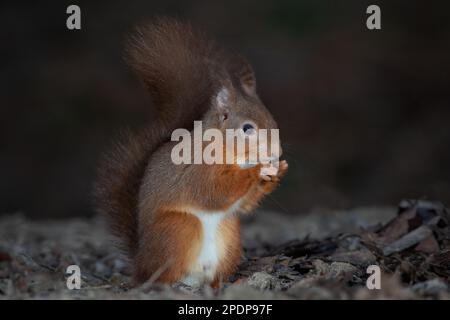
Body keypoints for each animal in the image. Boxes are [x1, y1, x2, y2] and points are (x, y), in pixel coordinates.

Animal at [94, 17, 288, 288]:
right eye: (247, 128)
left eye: (272, 119)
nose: (276, 152)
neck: (226, 149)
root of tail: (140, 261)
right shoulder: (197, 170)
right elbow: (214, 191)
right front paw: (259, 169)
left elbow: (244, 204)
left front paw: (277, 172)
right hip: (179, 228)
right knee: (163, 272)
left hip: (230, 233)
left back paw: (222, 283)